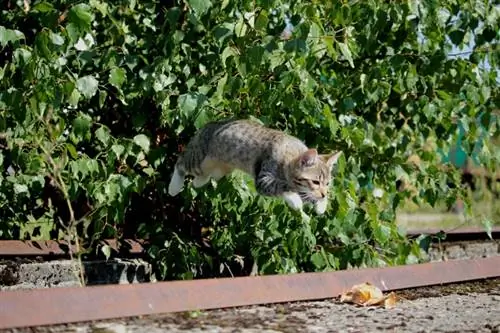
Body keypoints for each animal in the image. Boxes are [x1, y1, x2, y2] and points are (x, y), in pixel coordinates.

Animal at [167, 118, 340, 219]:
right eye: (316, 182)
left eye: (327, 183)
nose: (324, 194)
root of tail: (206, 125)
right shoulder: (263, 178)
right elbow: (282, 185)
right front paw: (295, 199)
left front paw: (321, 204)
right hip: (199, 159)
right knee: (180, 162)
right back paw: (174, 187)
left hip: (221, 169)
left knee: (204, 176)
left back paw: (198, 182)